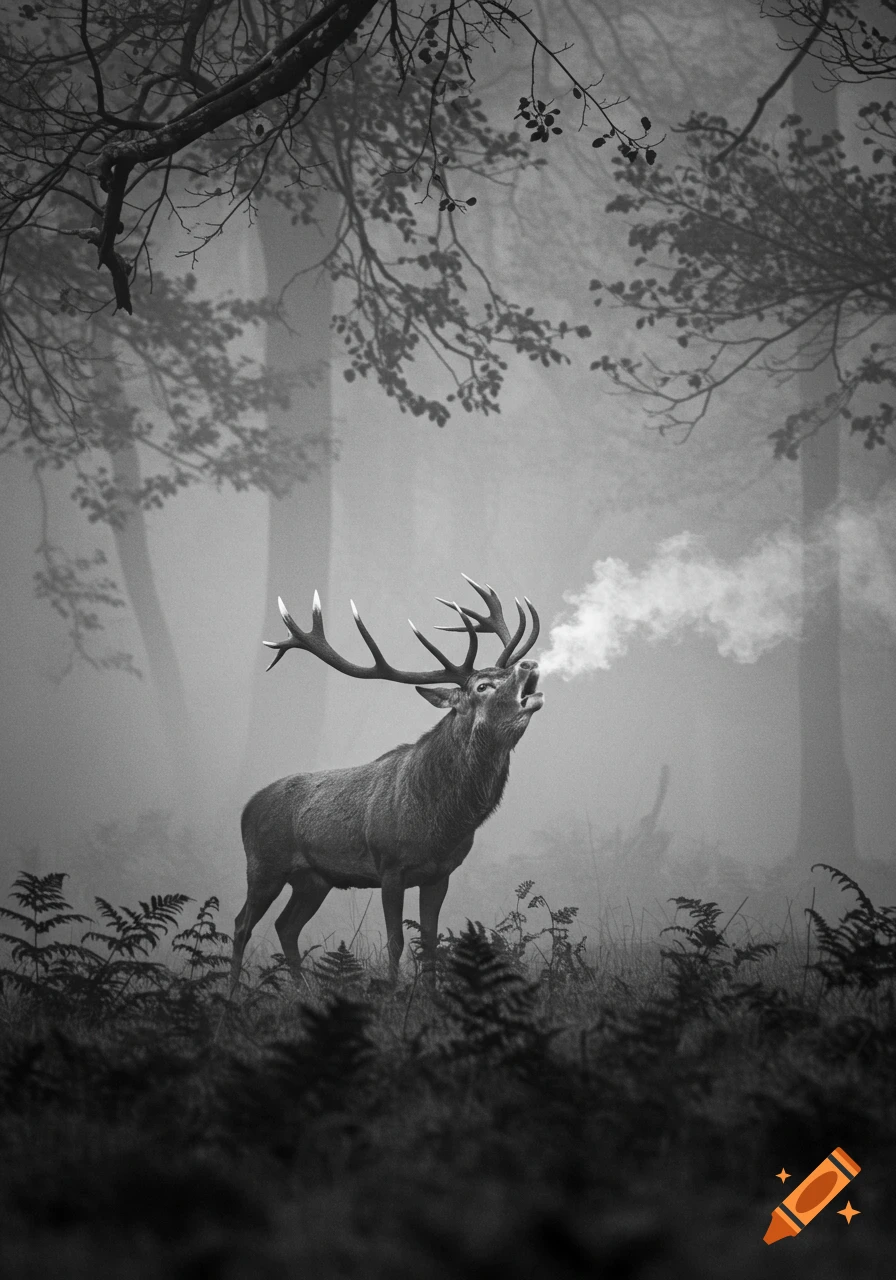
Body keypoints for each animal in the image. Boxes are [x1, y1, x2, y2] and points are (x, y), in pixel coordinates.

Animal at [230, 576, 543, 992]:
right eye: (482, 686)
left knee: (286, 926)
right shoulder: (389, 867)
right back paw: (231, 992)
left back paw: (300, 989)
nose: (529, 663)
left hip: (314, 879)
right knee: (242, 924)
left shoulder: (440, 873)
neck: (439, 823)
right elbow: (396, 940)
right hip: (264, 865)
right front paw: (393, 991)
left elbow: (430, 940)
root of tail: (246, 808)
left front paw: (428, 993)